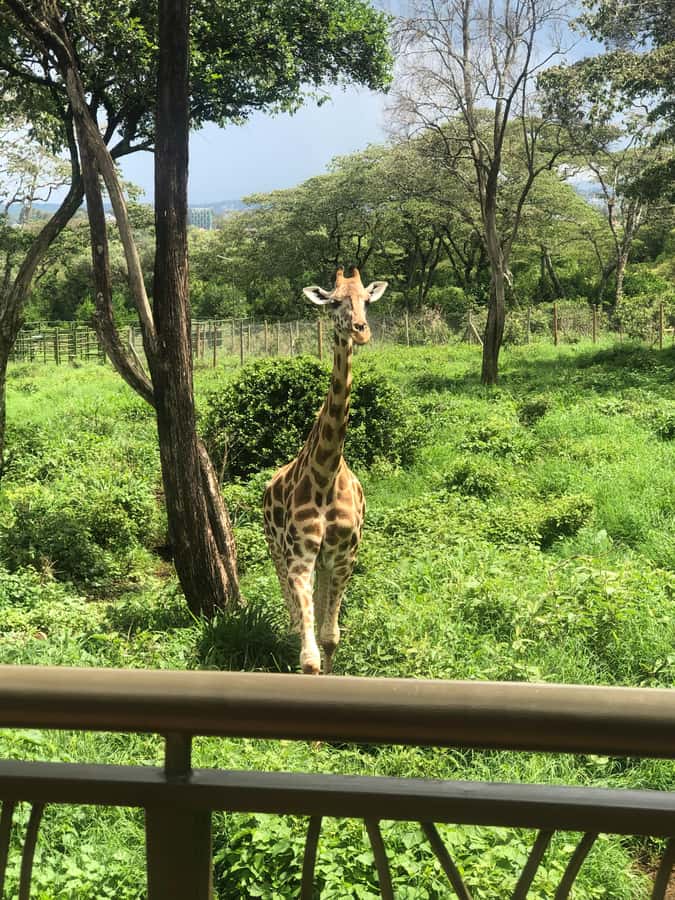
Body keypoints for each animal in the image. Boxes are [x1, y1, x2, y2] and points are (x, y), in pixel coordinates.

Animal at [262, 266, 388, 675]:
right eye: (333, 302)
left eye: (366, 299)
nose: (360, 330)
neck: (326, 473)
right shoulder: (299, 556)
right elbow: (309, 657)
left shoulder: (344, 555)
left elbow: (330, 637)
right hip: (275, 549)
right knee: (293, 613)